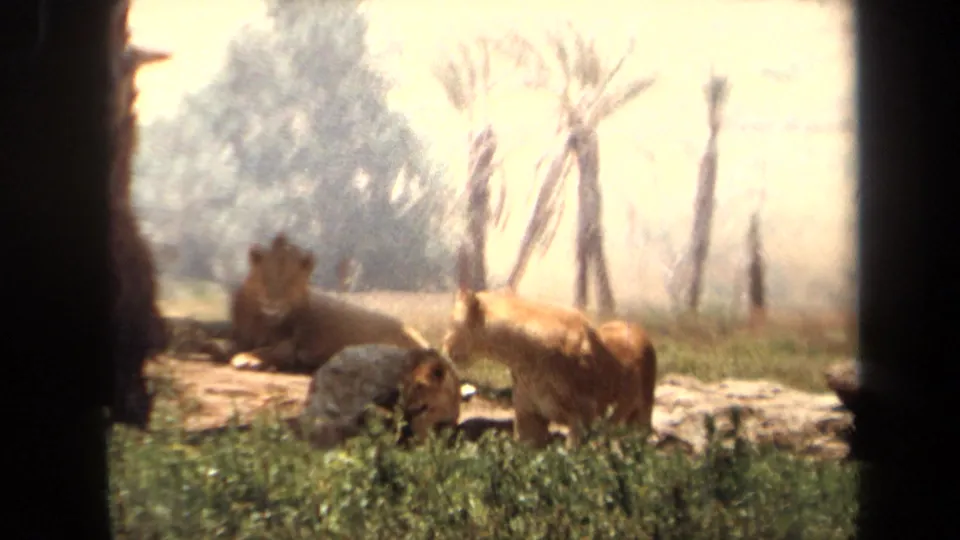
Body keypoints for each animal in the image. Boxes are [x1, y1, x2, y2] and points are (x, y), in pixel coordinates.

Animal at [229, 233, 432, 374]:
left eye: (291, 282)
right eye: (264, 278)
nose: (273, 302)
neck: (263, 319)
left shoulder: (288, 346)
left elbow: (266, 350)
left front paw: (247, 358)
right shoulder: (242, 336)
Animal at [441, 286, 658, 449]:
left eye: (451, 323)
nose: (443, 346)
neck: (522, 359)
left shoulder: (582, 417)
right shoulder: (528, 417)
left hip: (642, 413)